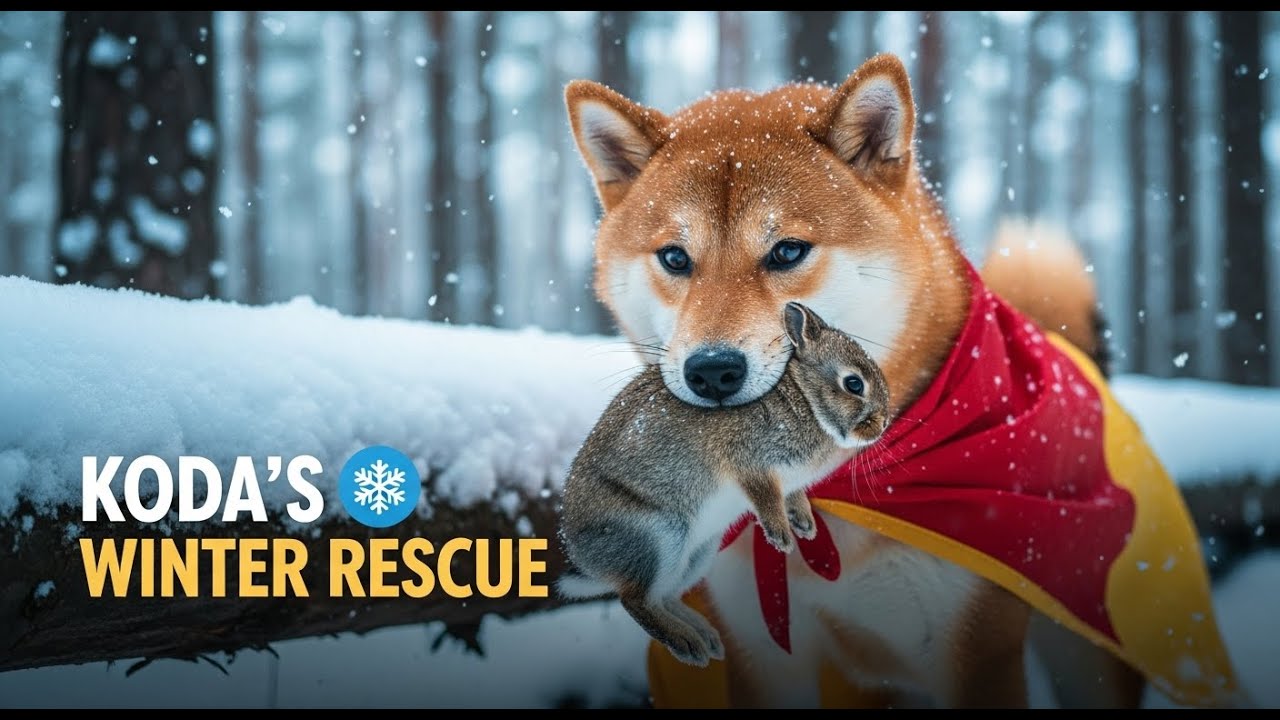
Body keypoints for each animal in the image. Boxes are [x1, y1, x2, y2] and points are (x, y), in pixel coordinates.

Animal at [557, 302, 890, 666]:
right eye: (854, 384)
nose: (883, 423)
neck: (804, 398)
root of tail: (584, 558)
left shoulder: (787, 482)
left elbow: (793, 496)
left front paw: (806, 526)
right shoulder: (750, 464)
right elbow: (764, 497)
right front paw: (783, 539)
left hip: (698, 554)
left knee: (664, 597)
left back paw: (706, 639)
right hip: (658, 538)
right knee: (636, 601)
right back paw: (688, 645)